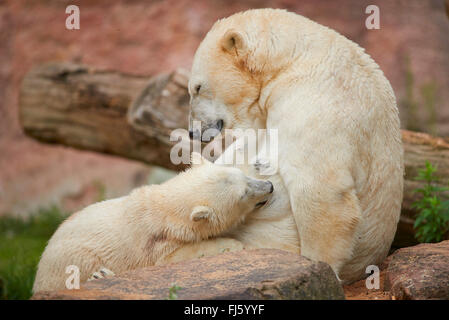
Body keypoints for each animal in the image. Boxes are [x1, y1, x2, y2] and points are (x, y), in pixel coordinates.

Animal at [32, 154, 272, 294]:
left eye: (244, 176)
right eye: (244, 194)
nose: (269, 186)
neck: (162, 207)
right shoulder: (155, 244)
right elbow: (173, 258)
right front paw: (232, 245)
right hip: (73, 259)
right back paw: (101, 275)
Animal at [186, 8, 402, 282]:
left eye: (197, 87)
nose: (193, 131)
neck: (290, 61)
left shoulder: (311, 101)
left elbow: (320, 190)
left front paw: (319, 269)